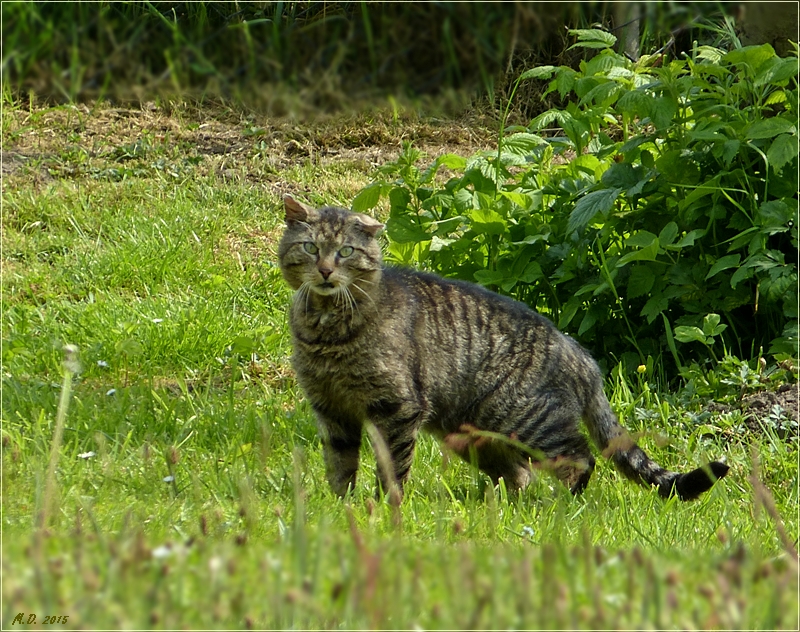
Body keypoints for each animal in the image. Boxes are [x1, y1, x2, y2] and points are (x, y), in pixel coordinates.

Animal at [278, 195, 728, 502]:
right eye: (310, 248)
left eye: (346, 252)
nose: (325, 270)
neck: (326, 329)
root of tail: (580, 354)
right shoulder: (331, 409)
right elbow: (340, 466)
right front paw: (341, 506)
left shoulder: (398, 408)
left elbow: (392, 467)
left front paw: (386, 506)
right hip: (477, 436)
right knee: (520, 474)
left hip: (531, 422)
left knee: (580, 458)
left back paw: (563, 506)